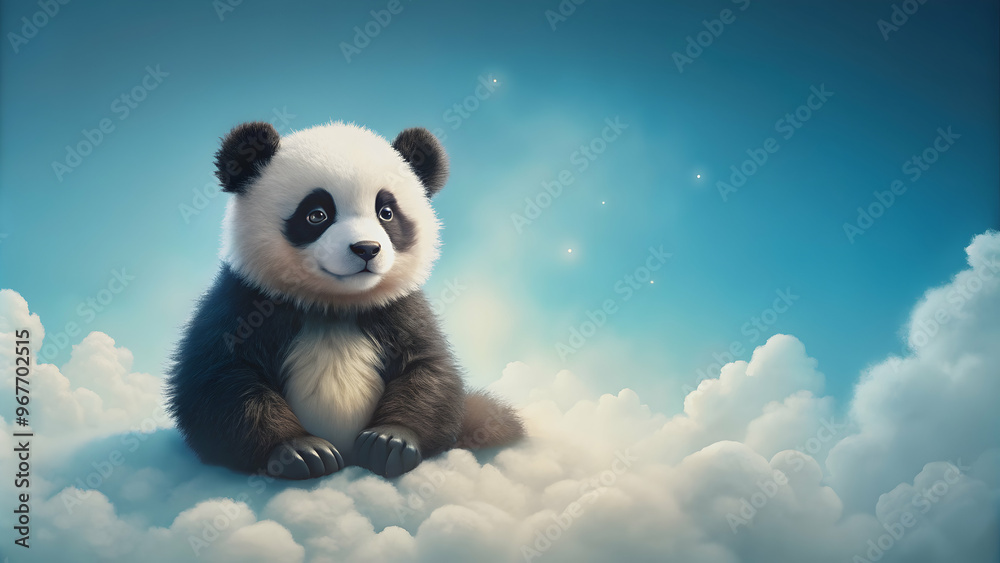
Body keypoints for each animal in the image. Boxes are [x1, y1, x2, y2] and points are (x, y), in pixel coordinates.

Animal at [166, 120, 523, 480]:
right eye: (316, 215)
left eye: (386, 212)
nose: (366, 249)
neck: (334, 304)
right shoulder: (245, 301)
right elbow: (218, 380)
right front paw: (300, 450)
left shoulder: (400, 309)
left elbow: (429, 370)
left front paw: (390, 441)